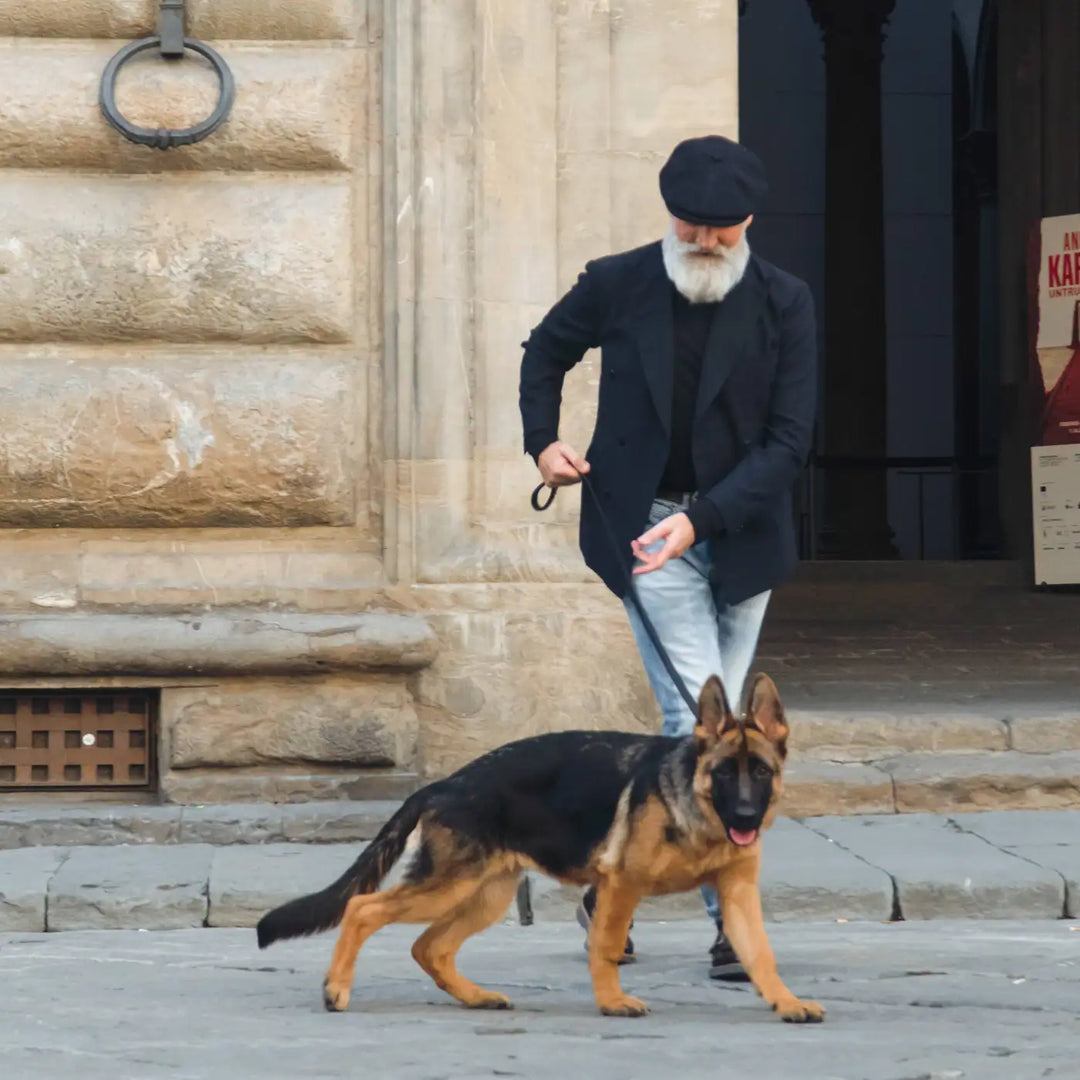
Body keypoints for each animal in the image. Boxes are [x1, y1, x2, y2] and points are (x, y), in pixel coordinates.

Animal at [257, 673, 820, 1019]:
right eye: (723, 773)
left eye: (761, 772)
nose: (745, 817)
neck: (695, 805)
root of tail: (444, 784)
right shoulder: (622, 885)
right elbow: (606, 947)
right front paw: (612, 1001)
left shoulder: (737, 893)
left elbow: (761, 953)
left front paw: (787, 1002)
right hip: (448, 886)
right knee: (362, 908)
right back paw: (337, 988)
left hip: (487, 894)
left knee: (429, 946)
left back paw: (475, 997)